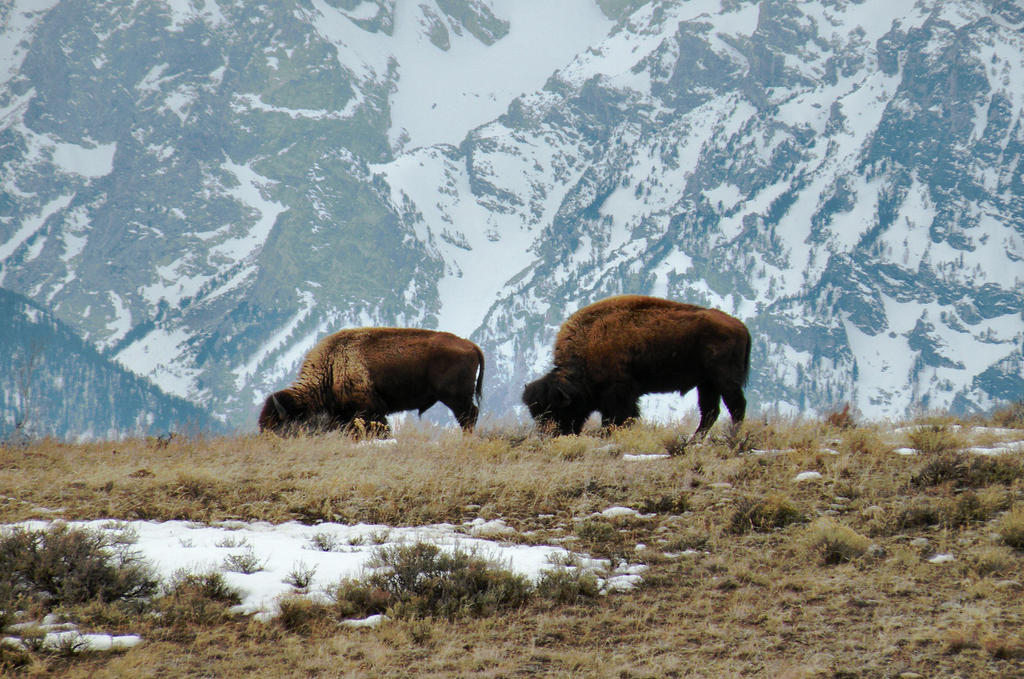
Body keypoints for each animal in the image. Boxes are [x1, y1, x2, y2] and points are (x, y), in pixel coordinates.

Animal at [253, 327, 481, 436]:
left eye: (279, 427)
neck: (332, 367)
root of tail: (471, 345)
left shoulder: (370, 411)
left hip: (456, 398)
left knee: (468, 416)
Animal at [524, 296, 749, 440]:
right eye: (535, 414)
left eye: (555, 411)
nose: (549, 436)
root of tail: (740, 325)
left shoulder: (619, 394)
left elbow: (618, 418)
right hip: (706, 383)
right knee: (710, 412)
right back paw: (695, 441)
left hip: (725, 380)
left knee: (736, 406)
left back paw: (732, 437)